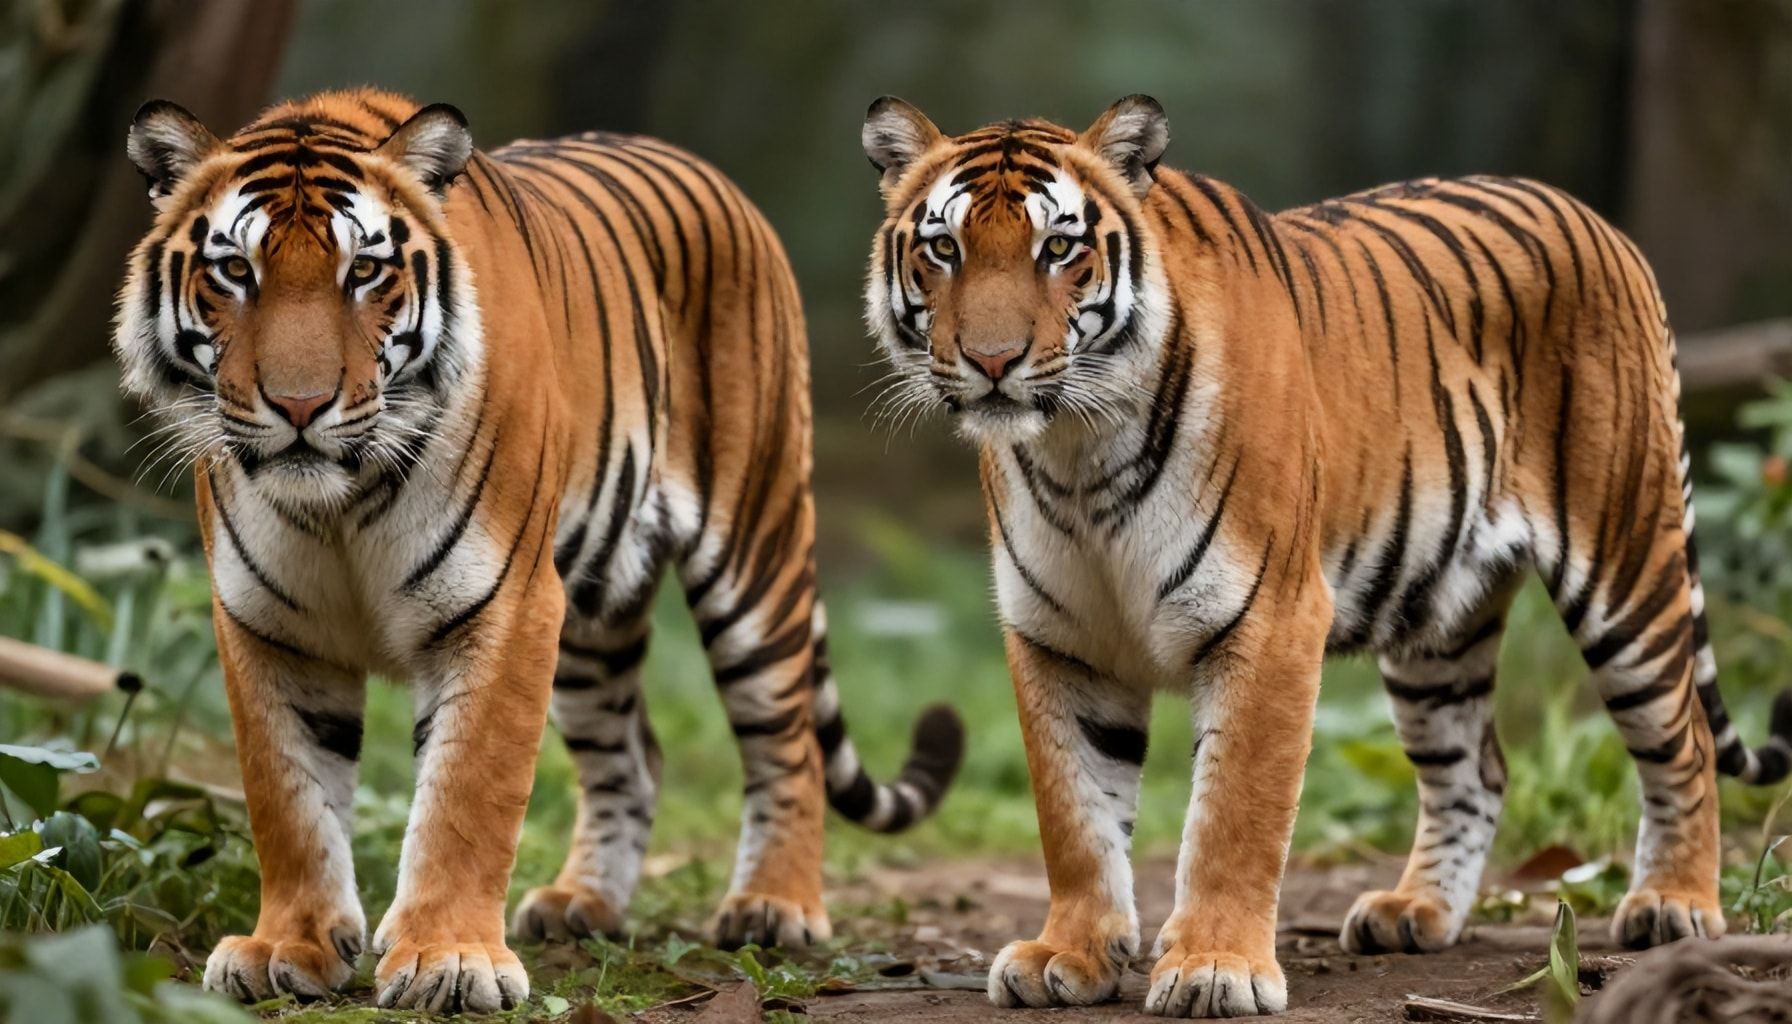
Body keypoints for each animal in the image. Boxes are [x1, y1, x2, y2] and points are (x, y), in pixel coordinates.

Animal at [111, 88, 963, 1013]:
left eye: (363, 272)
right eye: (236, 271)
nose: (300, 406)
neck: (339, 500)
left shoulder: (504, 604)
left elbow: (466, 794)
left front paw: (448, 960)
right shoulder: (268, 624)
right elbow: (288, 800)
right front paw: (287, 947)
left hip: (755, 552)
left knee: (788, 741)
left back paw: (775, 907)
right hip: (590, 614)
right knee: (633, 756)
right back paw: (582, 903)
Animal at [858, 94, 1792, 1018]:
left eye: (1059, 248)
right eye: (945, 249)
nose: (992, 361)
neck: (1079, 454)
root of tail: (1596, 219)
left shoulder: (1269, 618)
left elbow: (1234, 812)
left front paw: (1215, 968)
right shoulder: (1060, 639)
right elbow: (1074, 814)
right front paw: (1070, 955)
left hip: (1627, 566)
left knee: (1684, 741)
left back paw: (1673, 905)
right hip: (1437, 627)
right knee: (1476, 769)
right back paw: (1414, 910)